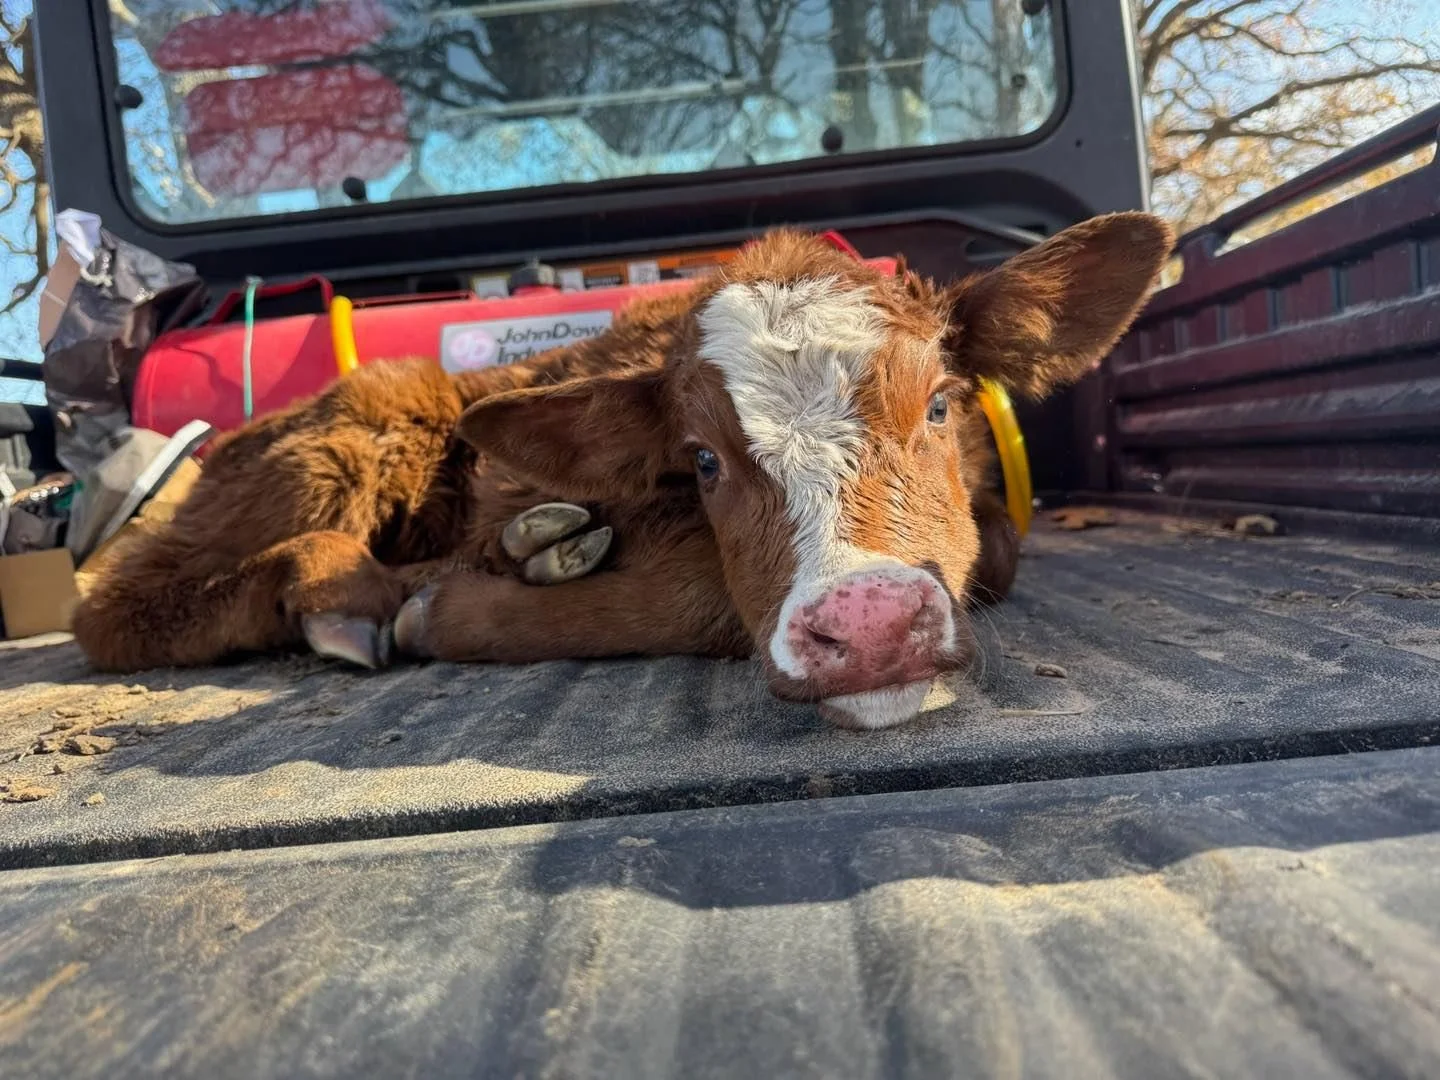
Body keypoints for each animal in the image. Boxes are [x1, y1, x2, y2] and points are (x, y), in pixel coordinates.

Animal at [72, 214, 1172, 729]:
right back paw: (345, 592)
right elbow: (699, 588)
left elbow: (1000, 548)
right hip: (352, 438)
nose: (867, 630)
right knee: (114, 608)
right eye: (703, 459)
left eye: (940, 405)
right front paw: (457, 605)